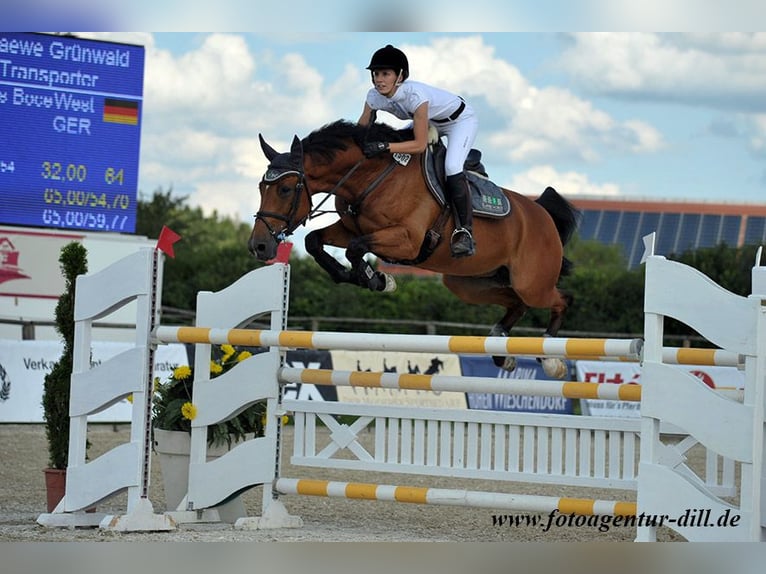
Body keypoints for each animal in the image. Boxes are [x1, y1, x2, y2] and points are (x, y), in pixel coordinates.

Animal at [250, 120, 584, 378]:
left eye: (285, 189)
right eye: (260, 187)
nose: (259, 246)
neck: (370, 176)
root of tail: (541, 213)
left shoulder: (406, 240)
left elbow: (355, 250)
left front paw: (377, 279)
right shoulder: (350, 228)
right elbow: (315, 241)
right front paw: (358, 277)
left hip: (532, 282)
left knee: (561, 299)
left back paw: (550, 360)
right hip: (468, 283)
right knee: (517, 304)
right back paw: (503, 353)